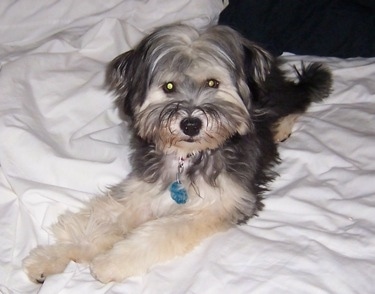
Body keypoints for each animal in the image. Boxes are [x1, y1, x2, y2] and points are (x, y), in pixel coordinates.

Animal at [23, 24, 332, 284]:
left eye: (212, 83)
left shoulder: (220, 204)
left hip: (278, 98)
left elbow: (160, 232)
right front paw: (54, 256)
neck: (189, 155)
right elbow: (99, 222)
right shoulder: (143, 188)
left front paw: (111, 262)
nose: (191, 124)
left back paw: (282, 127)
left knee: (302, 97)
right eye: (169, 86)